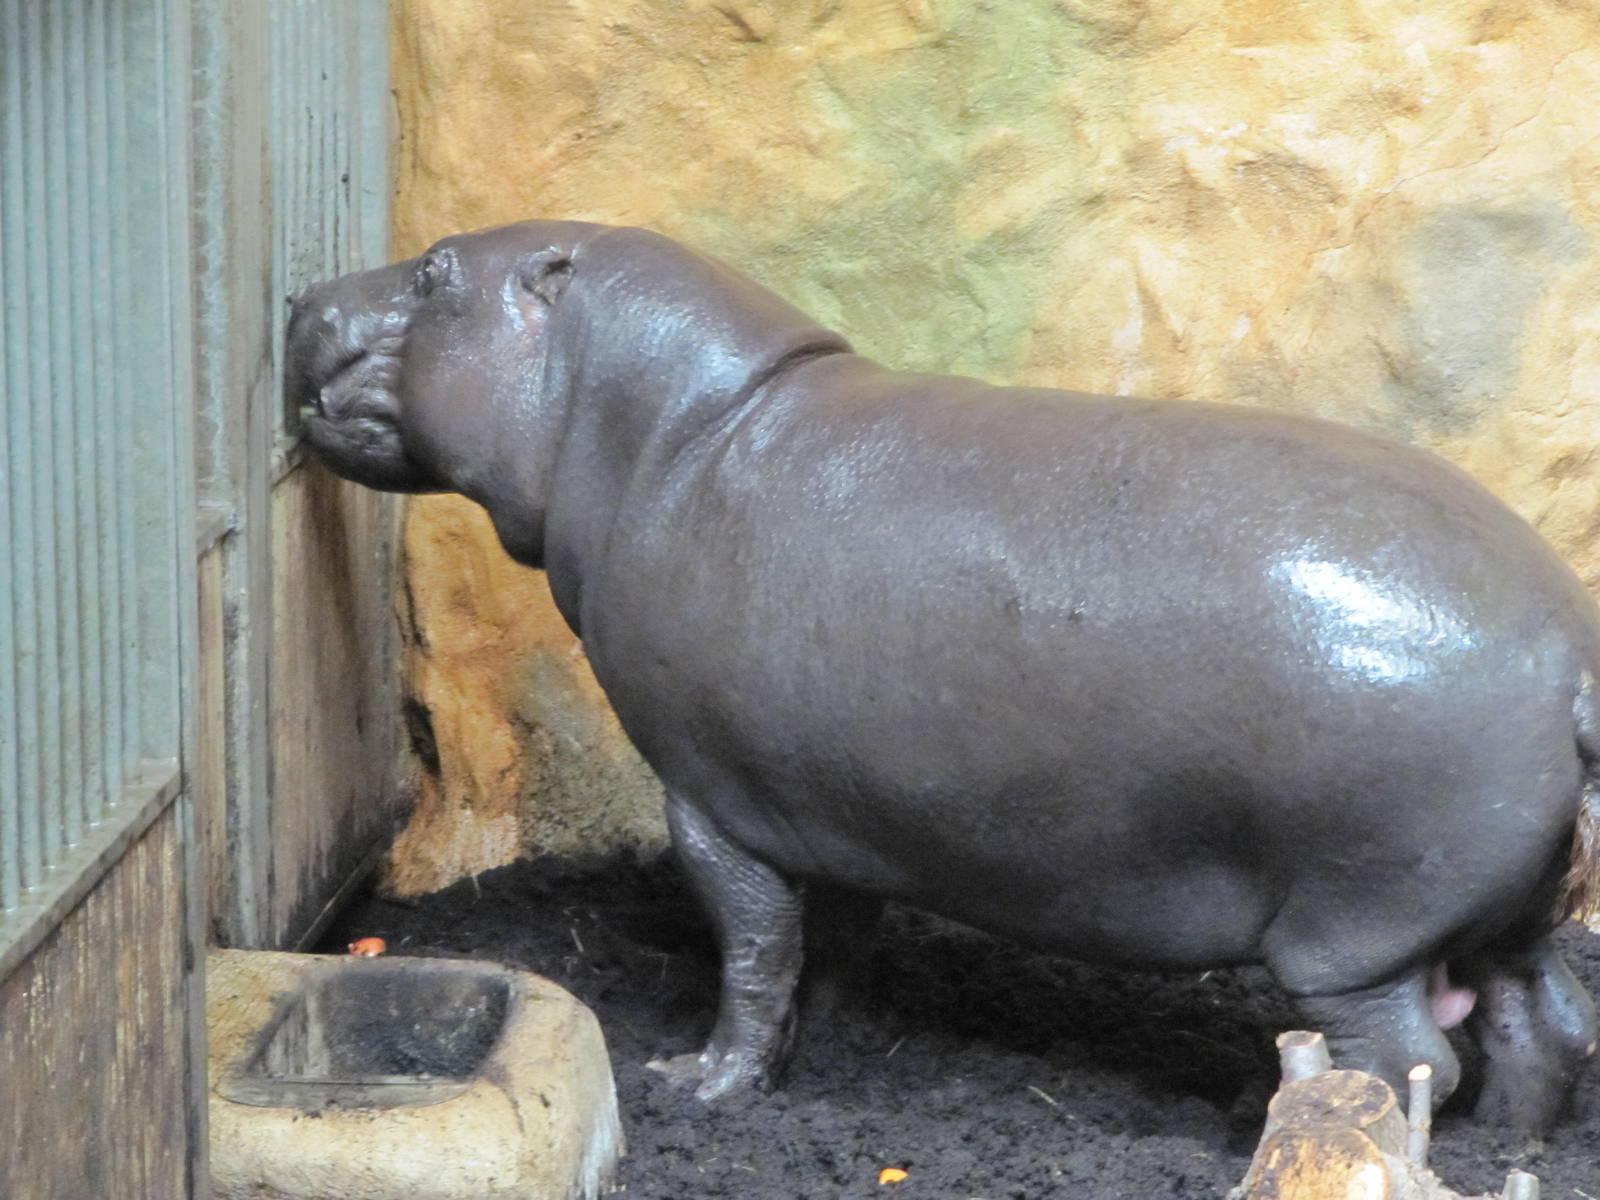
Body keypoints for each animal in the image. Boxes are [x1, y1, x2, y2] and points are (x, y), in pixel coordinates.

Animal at [286, 219, 1600, 1131]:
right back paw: (1502, 1144)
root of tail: (1567, 651)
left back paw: (1299, 1129)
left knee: (1411, 1057)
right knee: (1547, 1022)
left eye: (437, 270)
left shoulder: (712, 804)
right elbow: (828, 949)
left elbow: (751, 953)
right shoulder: (829, 807)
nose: (303, 293)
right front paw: (826, 1048)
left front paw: (700, 1083)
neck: (682, 429)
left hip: (1353, 930)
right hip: (1505, 904)